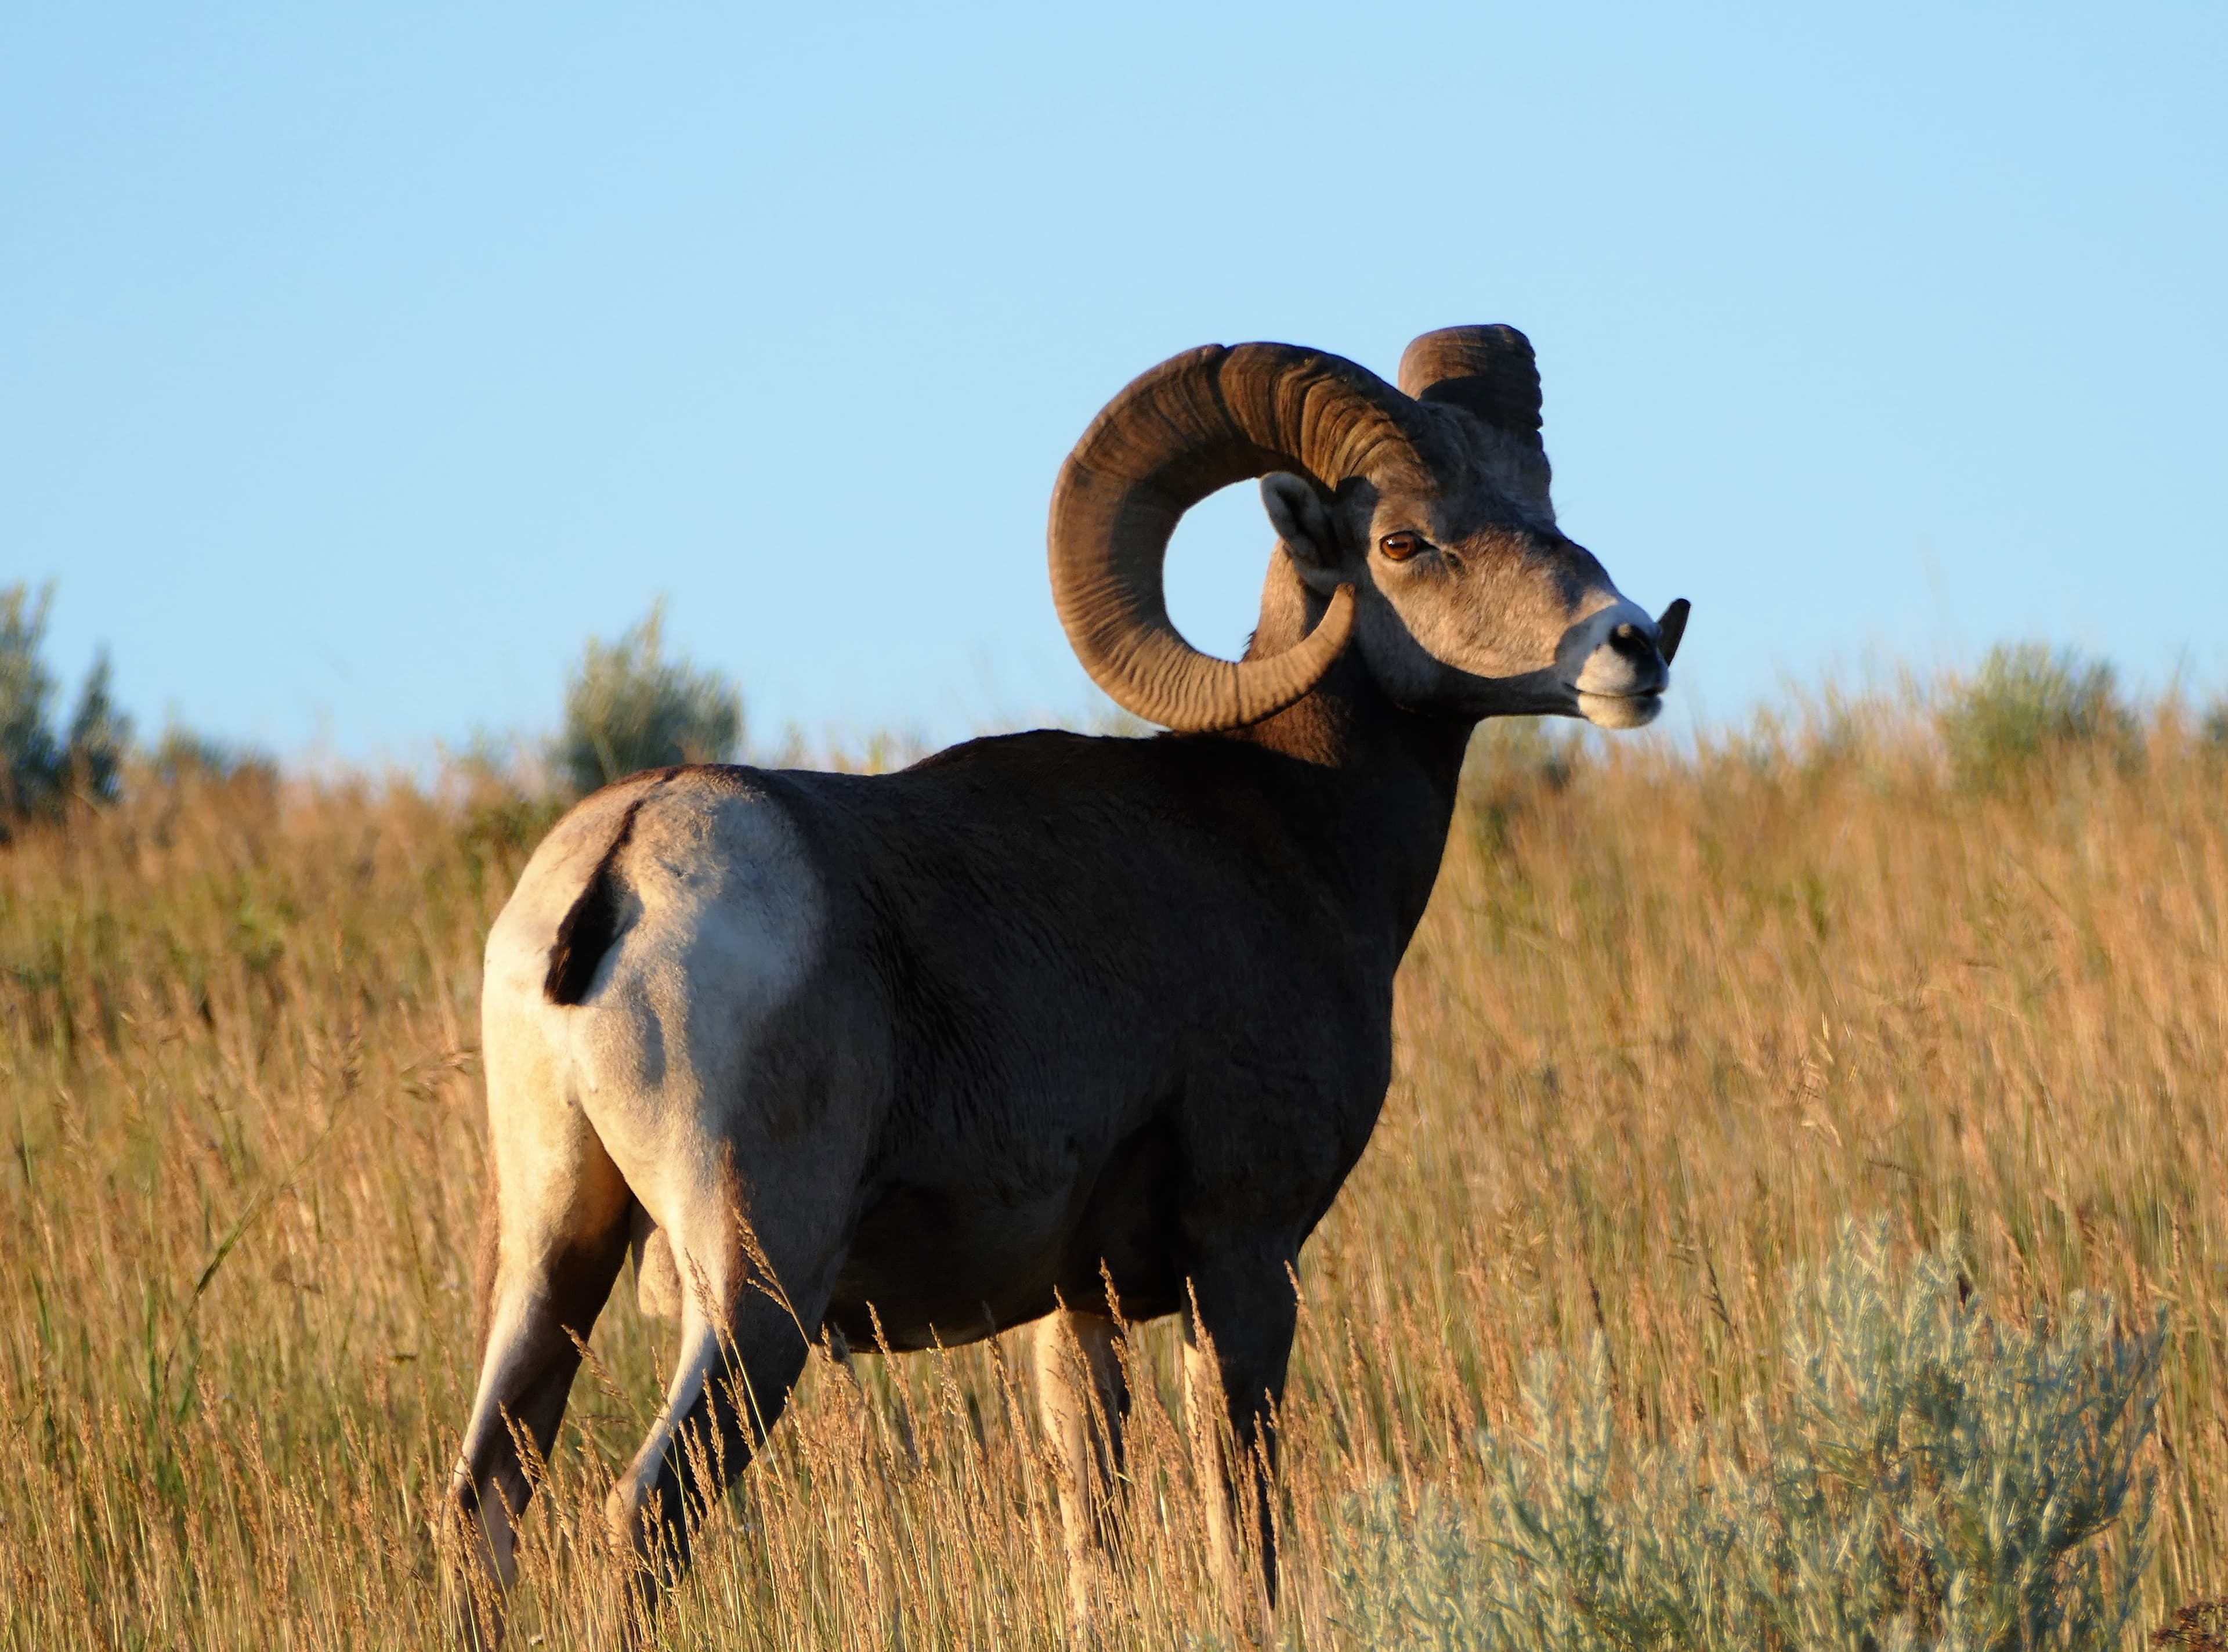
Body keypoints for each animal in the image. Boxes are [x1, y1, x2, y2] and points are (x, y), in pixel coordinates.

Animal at [443, 325, 1688, 1642]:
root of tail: (621, 860)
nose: (1633, 647)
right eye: (1404, 541)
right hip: (751, 1290)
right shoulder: (1243, 1261)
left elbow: (1096, 1532)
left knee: (485, 1501)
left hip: (553, 1255)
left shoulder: (1070, 1309)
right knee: (645, 1512)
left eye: (1538, 504)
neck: (1286, 828)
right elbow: (1243, 1529)